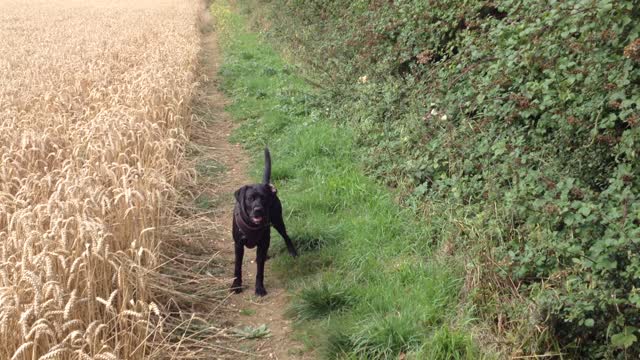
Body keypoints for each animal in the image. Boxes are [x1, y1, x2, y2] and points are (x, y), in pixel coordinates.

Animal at [231, 146, 298, 296]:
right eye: (250, 198)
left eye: (263, 198)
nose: (258, 209)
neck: (251, 224)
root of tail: (267, 184)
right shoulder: (238, 245)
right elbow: (237, 267)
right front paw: (236, 285)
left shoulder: (262, 243)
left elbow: (260, 270)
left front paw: (259, 288)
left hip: (278, 221)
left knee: (286, 236)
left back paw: (293, 252)